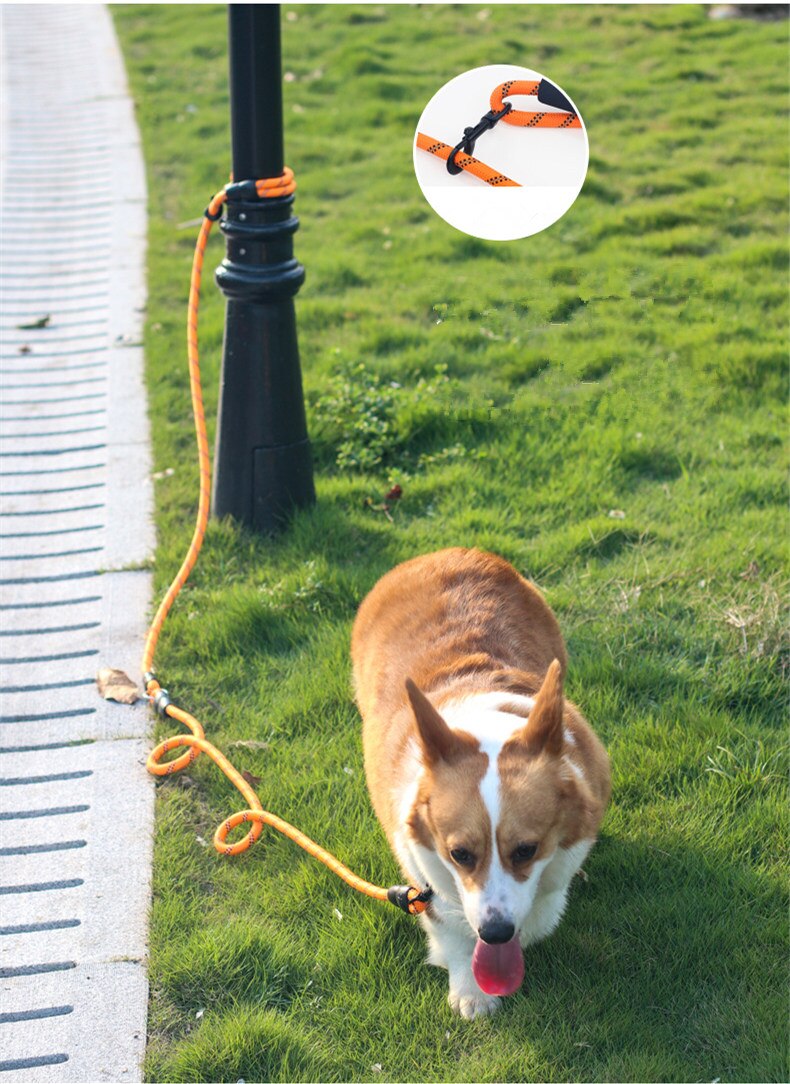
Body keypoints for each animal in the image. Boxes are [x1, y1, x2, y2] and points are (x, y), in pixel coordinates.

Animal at [351, 550, 611, 1014]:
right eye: (460, 854)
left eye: (527, 850)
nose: (495, 933)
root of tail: (445, 552)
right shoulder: (427, 876)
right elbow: (450, 928)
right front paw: (471, 993)